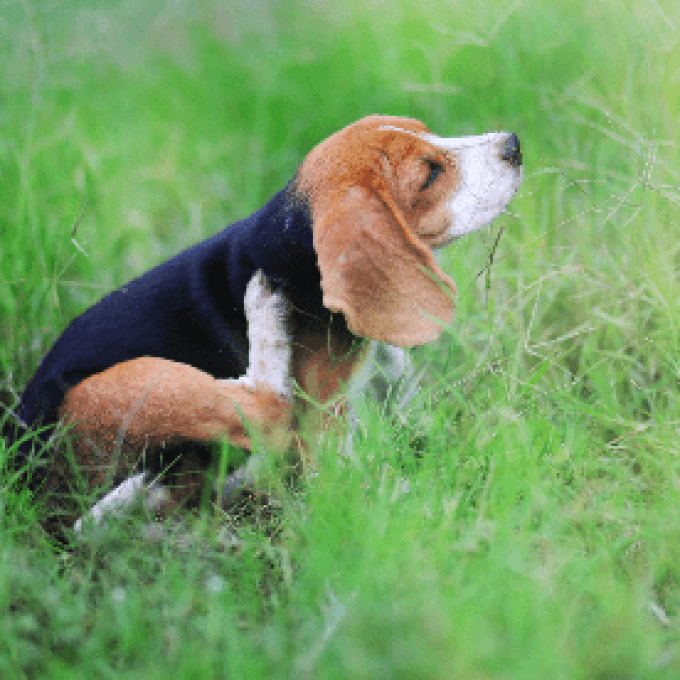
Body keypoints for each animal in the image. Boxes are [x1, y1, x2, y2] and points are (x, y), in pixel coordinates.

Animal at [9, 114, 520, 532]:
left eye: (429, 131)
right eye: (430, 173)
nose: (513, 144)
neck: (291, 242)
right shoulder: (322, 422)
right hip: (123, 385)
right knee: (269, 411)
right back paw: (263, 313)